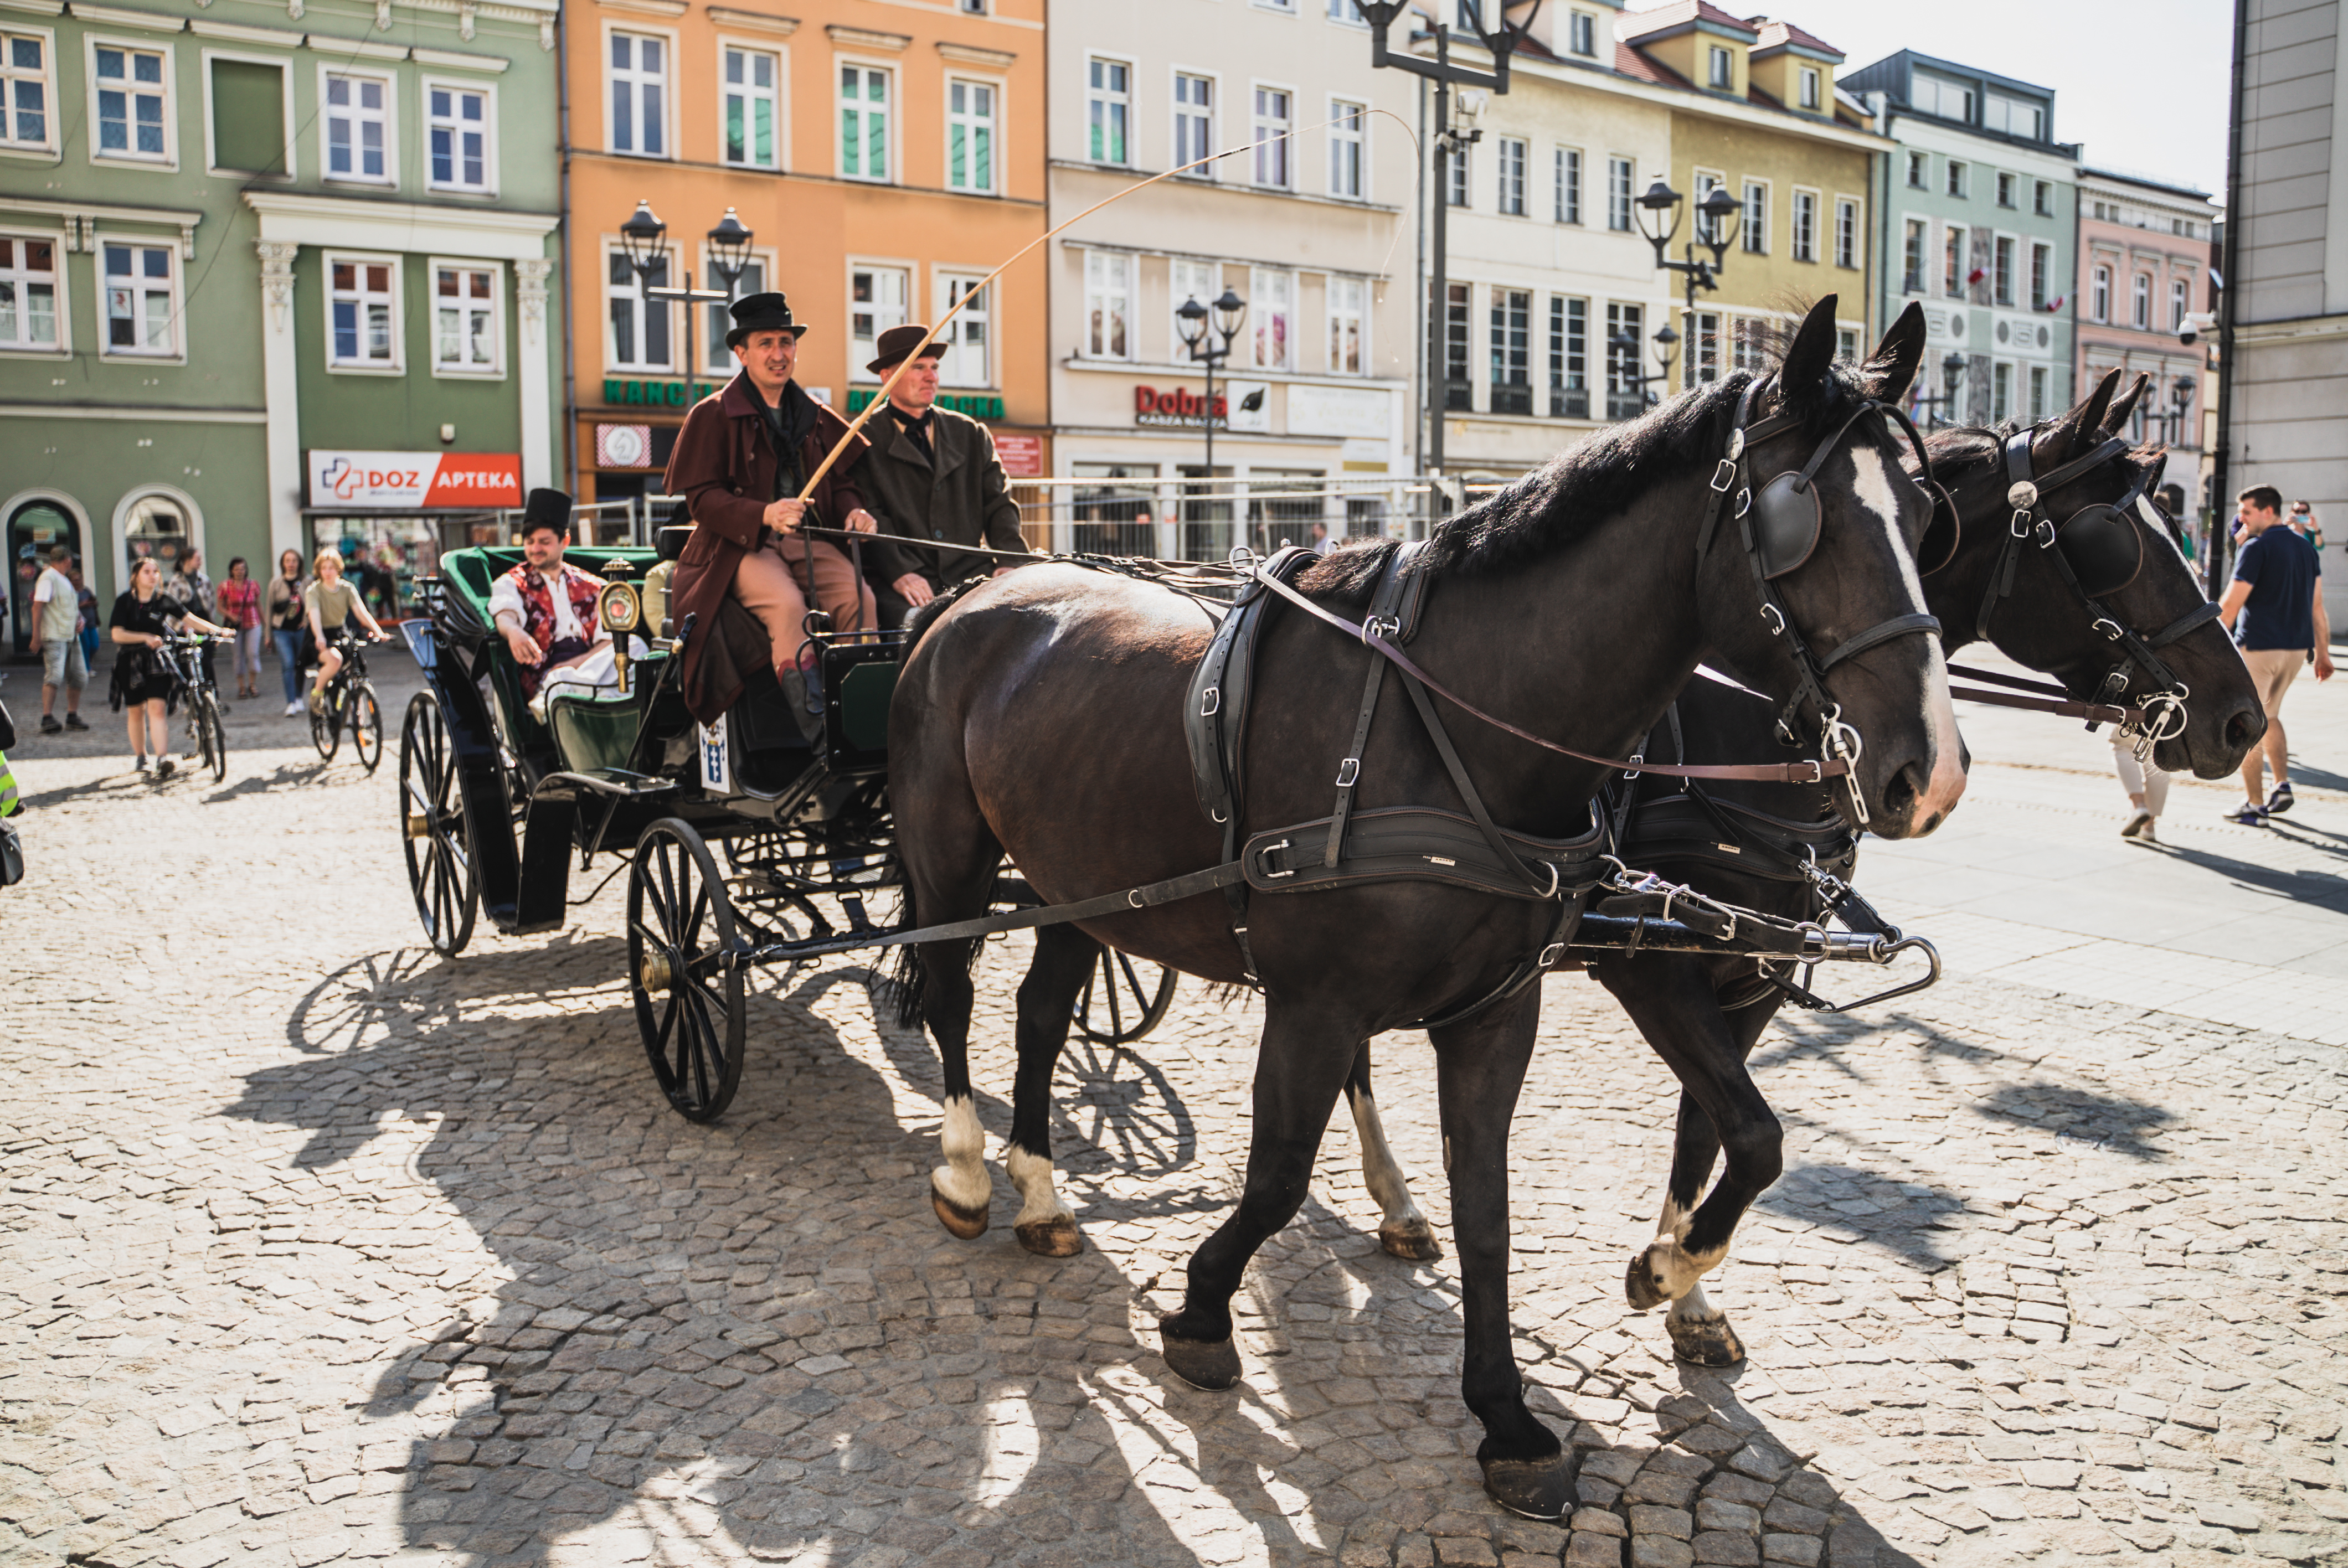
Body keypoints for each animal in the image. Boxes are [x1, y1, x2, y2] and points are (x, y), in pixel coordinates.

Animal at [887, 300, 1972, 1512]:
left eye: (1928, 519)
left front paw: (1515, 1406)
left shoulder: (1503, 1009)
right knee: (948, 995)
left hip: (1076, 883)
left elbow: (1508, 1197)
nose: (1928, 769)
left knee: (1038, 1015)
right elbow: (1275, 1178)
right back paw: (969, 1173)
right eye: (1799, 516)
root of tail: (975, 590)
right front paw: (1203, 1311)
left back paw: (1041, 1192)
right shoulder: (1331, 1002)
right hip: (953, 856)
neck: (1453, 719)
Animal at [1324, 368, 2254, 1370]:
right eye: (2111, 539)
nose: (2243, 718)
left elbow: (1709, 1132)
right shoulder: (1651, 968)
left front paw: (1688, 1290)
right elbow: (1758, 1135)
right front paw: (1666, 1269)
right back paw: (1397, 1196)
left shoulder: (1754, 974)